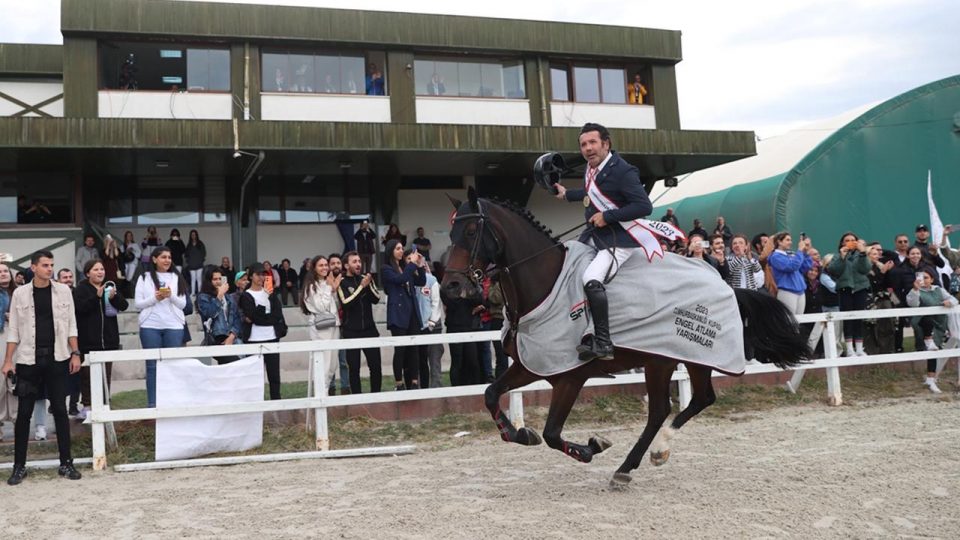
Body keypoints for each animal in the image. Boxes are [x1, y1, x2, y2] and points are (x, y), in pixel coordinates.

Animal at [442, 190, 808, 490]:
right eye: (450, 232)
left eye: (471, 232)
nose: (451, 287)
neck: (545, 284)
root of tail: (727, 285)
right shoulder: (531, 365)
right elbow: (491, 395)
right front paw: (518, 433)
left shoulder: (570, 376)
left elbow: (552, 434)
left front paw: (591, 447)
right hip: (671, 358)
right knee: (684, 403)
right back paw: (647, 457)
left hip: (678, 357)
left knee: (677, 405)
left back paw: (642, 458)